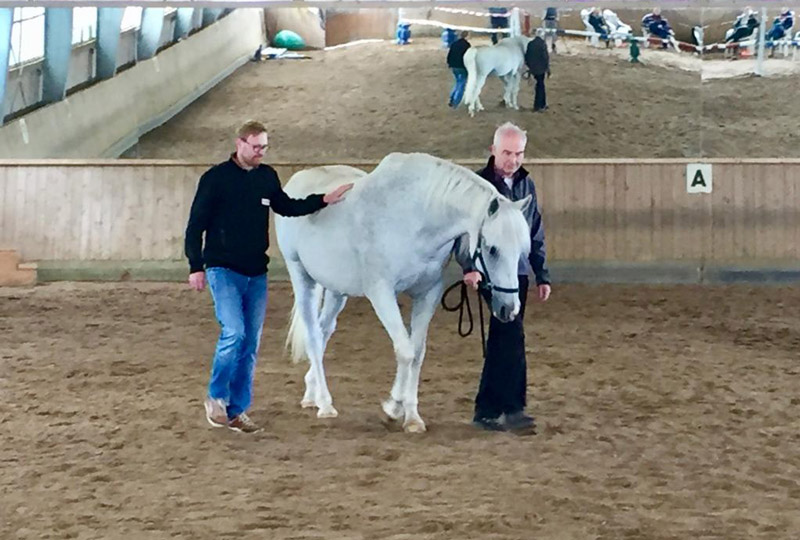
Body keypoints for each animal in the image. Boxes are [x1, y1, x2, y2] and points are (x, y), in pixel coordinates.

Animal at [276, 154, 532, 432]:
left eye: (522, 250)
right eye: (493, 249)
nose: (509, 309)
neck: (414, 217)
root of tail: (298, 179)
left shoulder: (428, 293)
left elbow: (417, 352)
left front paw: (411, 417)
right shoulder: (381, 292)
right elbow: (405, 351)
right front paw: (392, 407)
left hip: (336, 290)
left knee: (324, 330)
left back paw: (311, 395)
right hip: (301, 276)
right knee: (313, 334)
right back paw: (325, 404)